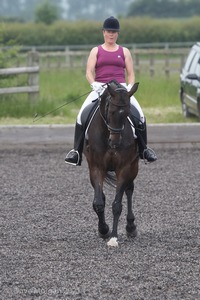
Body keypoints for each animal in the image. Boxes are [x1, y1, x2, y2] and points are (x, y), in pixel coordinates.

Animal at [83, 79, 140, 246]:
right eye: (110, 112)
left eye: (127, 113)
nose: (114, 142)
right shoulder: (96, 167)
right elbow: (99, 202)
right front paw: (103, 230)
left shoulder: (124, 168)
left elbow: (117, 205)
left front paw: (113, 237)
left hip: (134, 166)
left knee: (129, 189)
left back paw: (130, 227)